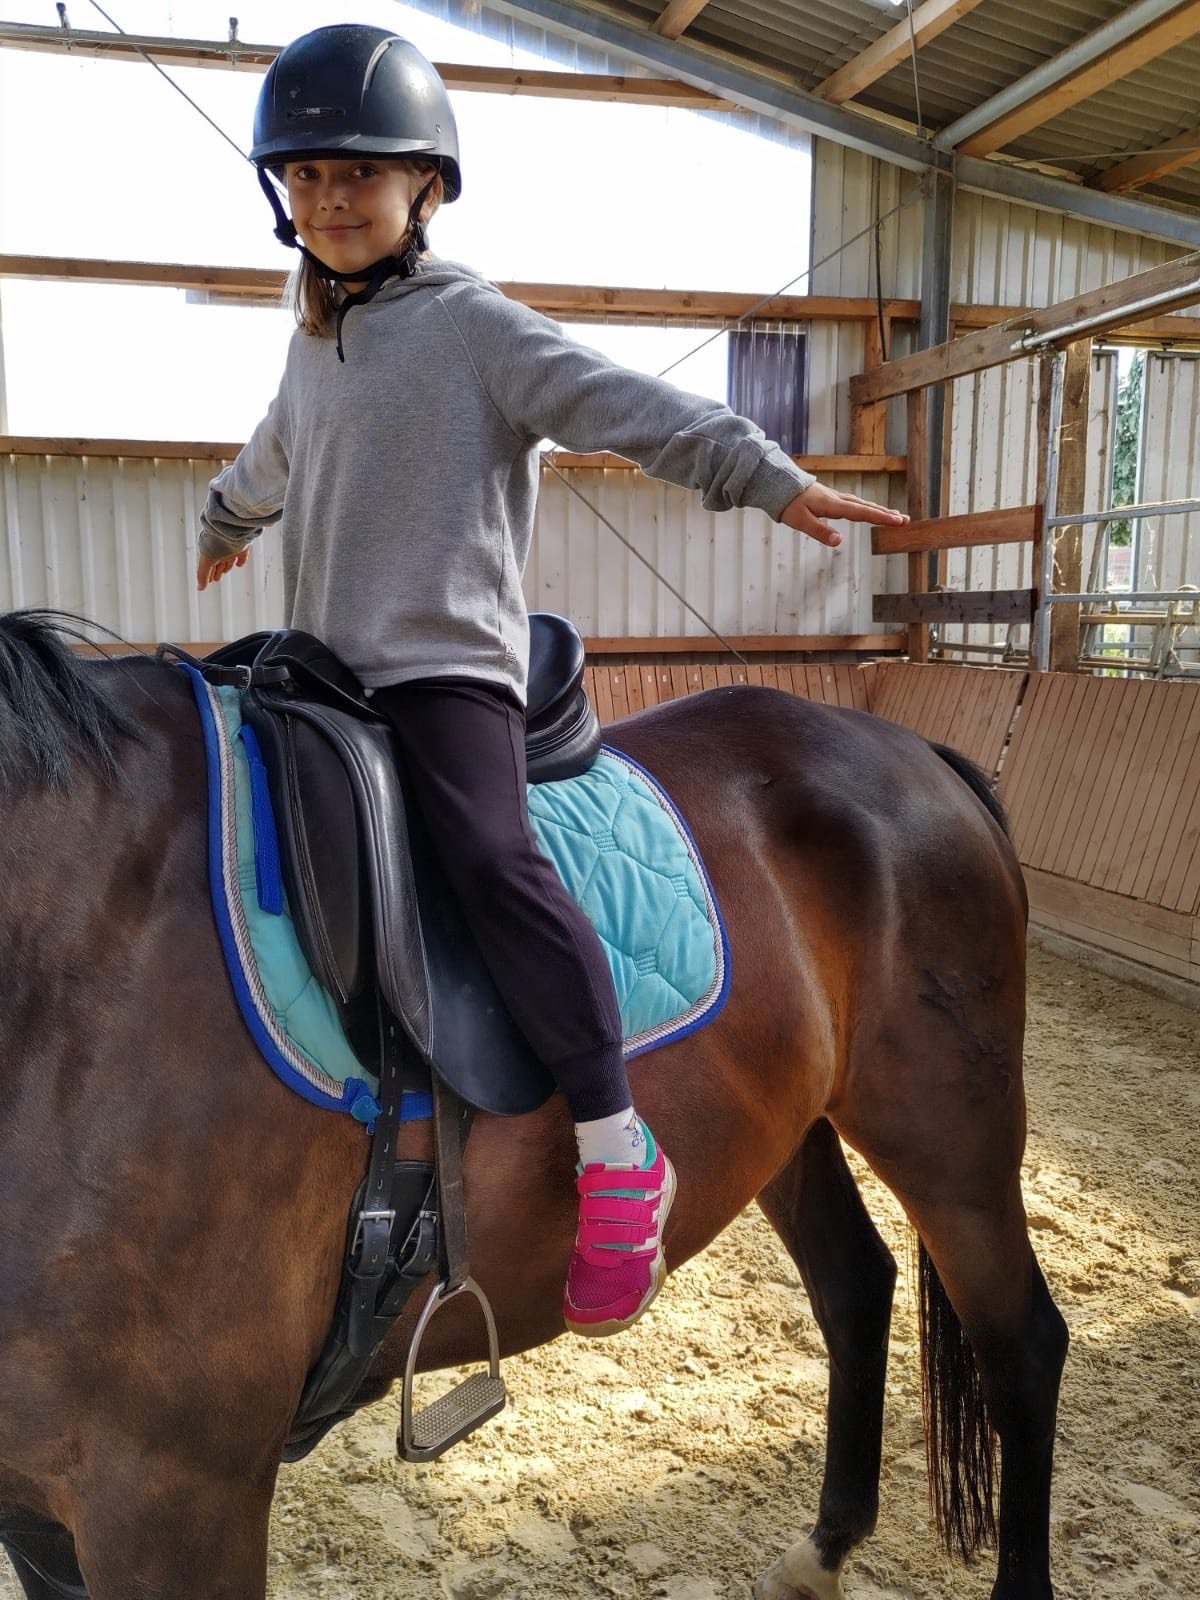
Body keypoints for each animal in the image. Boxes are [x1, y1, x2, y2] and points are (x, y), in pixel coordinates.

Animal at [0, 611, 1068, 1600]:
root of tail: (907, 747)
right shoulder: (44, 1508)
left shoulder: (177, 1496)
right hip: (791, 1126)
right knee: (855, 1286)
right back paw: (824, 1550)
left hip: (948, 1136)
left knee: (1021, 1345)